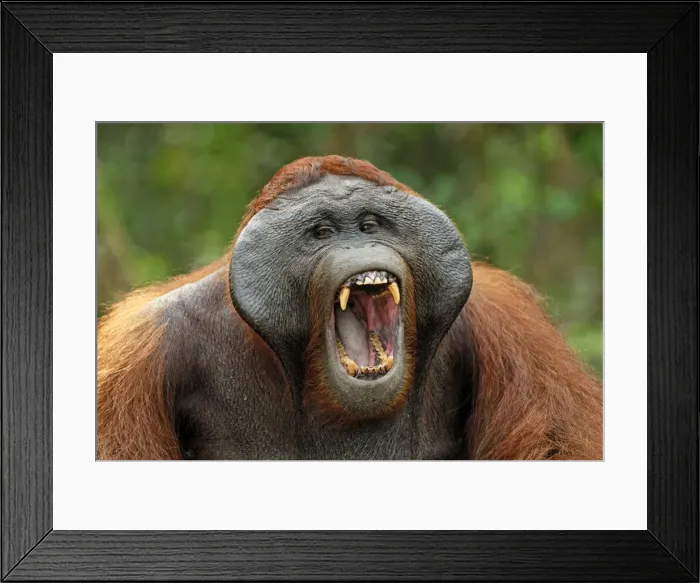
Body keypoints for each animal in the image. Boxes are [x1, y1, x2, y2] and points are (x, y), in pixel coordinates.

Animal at [97, 155, 602, 460]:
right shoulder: (134, 361)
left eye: (369, 224)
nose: (357, 243)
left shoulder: (514, 329)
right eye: (321, 232)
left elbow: (559, 446)